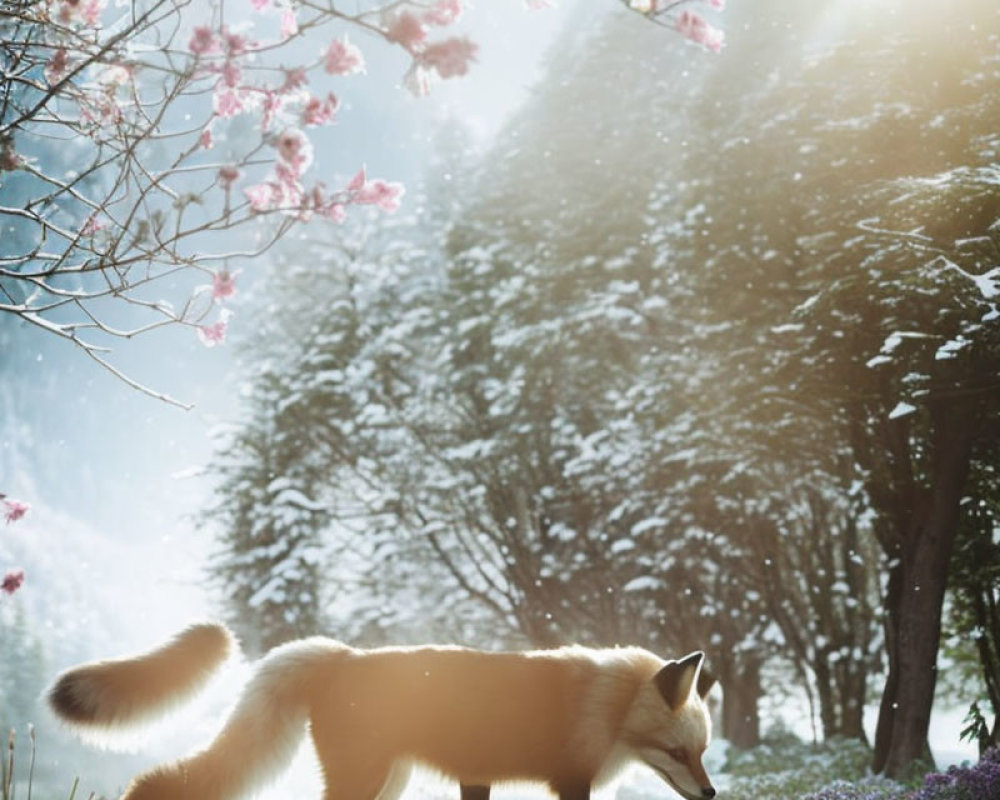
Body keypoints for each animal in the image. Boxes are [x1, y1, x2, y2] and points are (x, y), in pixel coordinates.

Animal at [48, 624, 720, 800]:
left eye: (703, 752)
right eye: (676, 753)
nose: (713, 794)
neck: (604, 705)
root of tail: (341, 654)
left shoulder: (476, 777)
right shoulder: (568, 783)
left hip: (388, 783)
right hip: (362, 780)